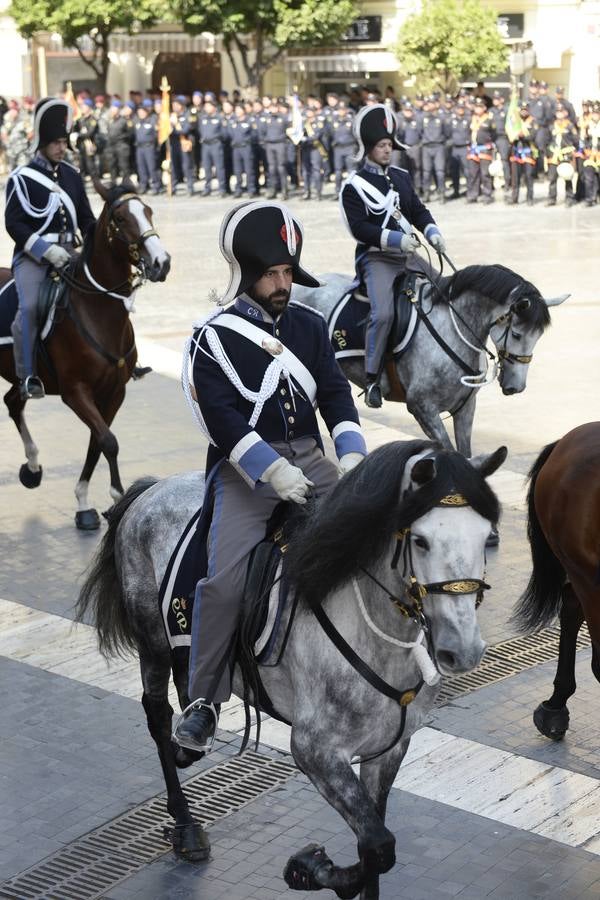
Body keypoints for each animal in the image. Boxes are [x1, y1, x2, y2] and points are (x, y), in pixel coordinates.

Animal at [1, 184, 171, 532]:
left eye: (148, 210)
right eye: (120, 218)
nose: (162, 262)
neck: (98, 310)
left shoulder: (114, 392)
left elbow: (98, 441)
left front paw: (84, 501)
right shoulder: (75, 392)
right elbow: (108, 440)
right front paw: (115, 498)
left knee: (13, 402)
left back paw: (32, 468)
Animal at [75, 442, 506, 900]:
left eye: (486, 537)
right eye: (421, 541)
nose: (463, 650)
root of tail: (154, 487)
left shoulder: (389, 749)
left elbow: (375, 848)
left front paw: (321, 869)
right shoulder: (315, 751)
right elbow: (378, 846)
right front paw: (308, 868)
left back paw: (194, 734)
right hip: (153, 640)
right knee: (157, 715)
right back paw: (186, 822)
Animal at [292, 262, 568, 458]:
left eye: (538, 336)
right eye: (518, 334)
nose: (515, 387)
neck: (452, 329)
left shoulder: (465, 408)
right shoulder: (421, 407)